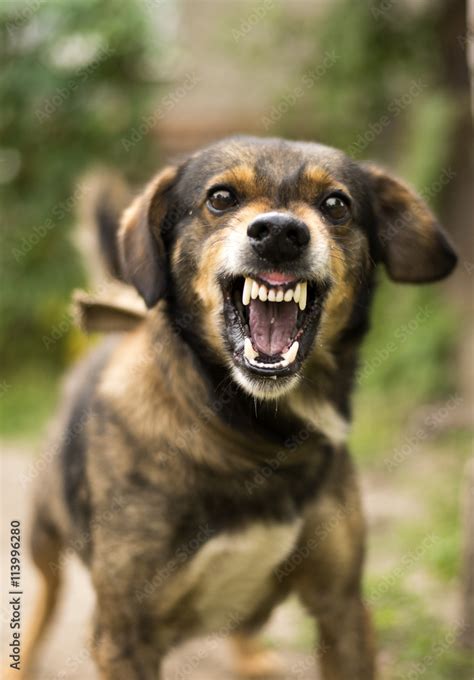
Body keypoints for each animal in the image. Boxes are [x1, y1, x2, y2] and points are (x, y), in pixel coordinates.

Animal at [18, 135, 456, 676]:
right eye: (221, 198)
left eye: (336, 205)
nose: (280, 235)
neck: (250, 434)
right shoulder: (122, 635)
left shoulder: (343, 607)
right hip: (43, 532)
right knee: (45, 596)